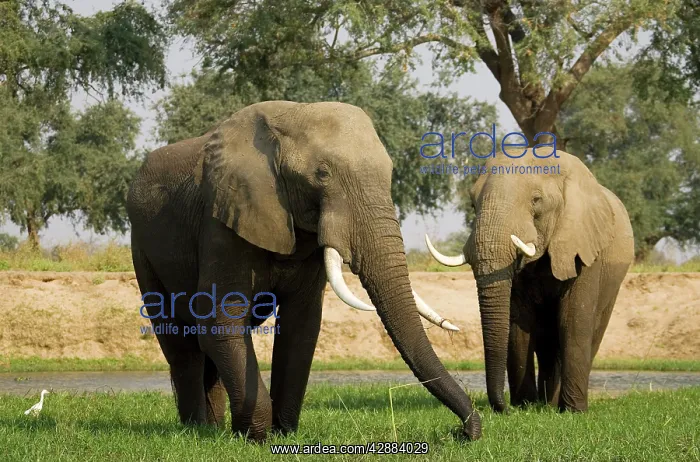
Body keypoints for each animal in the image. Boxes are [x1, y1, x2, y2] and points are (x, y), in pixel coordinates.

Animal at [126, 101, 481, 441]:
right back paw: (197, 429)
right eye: (322, 174)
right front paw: (254, 437)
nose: (462, 432)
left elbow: (301, 326)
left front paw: (281, 432)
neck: (287, 117)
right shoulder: (222, 222)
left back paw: (213, 429)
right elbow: (221, 319)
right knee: (182, 346)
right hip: (142, 247)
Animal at [425, 149, 634, 414]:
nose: (502, 408)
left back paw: (555, 404)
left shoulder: (584, 244)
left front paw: (574, 412)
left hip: (613, 282)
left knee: (589, 332)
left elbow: (573, 319)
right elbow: (519, 320)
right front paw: (525, 406)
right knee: (546, 342)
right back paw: (546, 403)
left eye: (536, 200)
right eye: (472, 203)